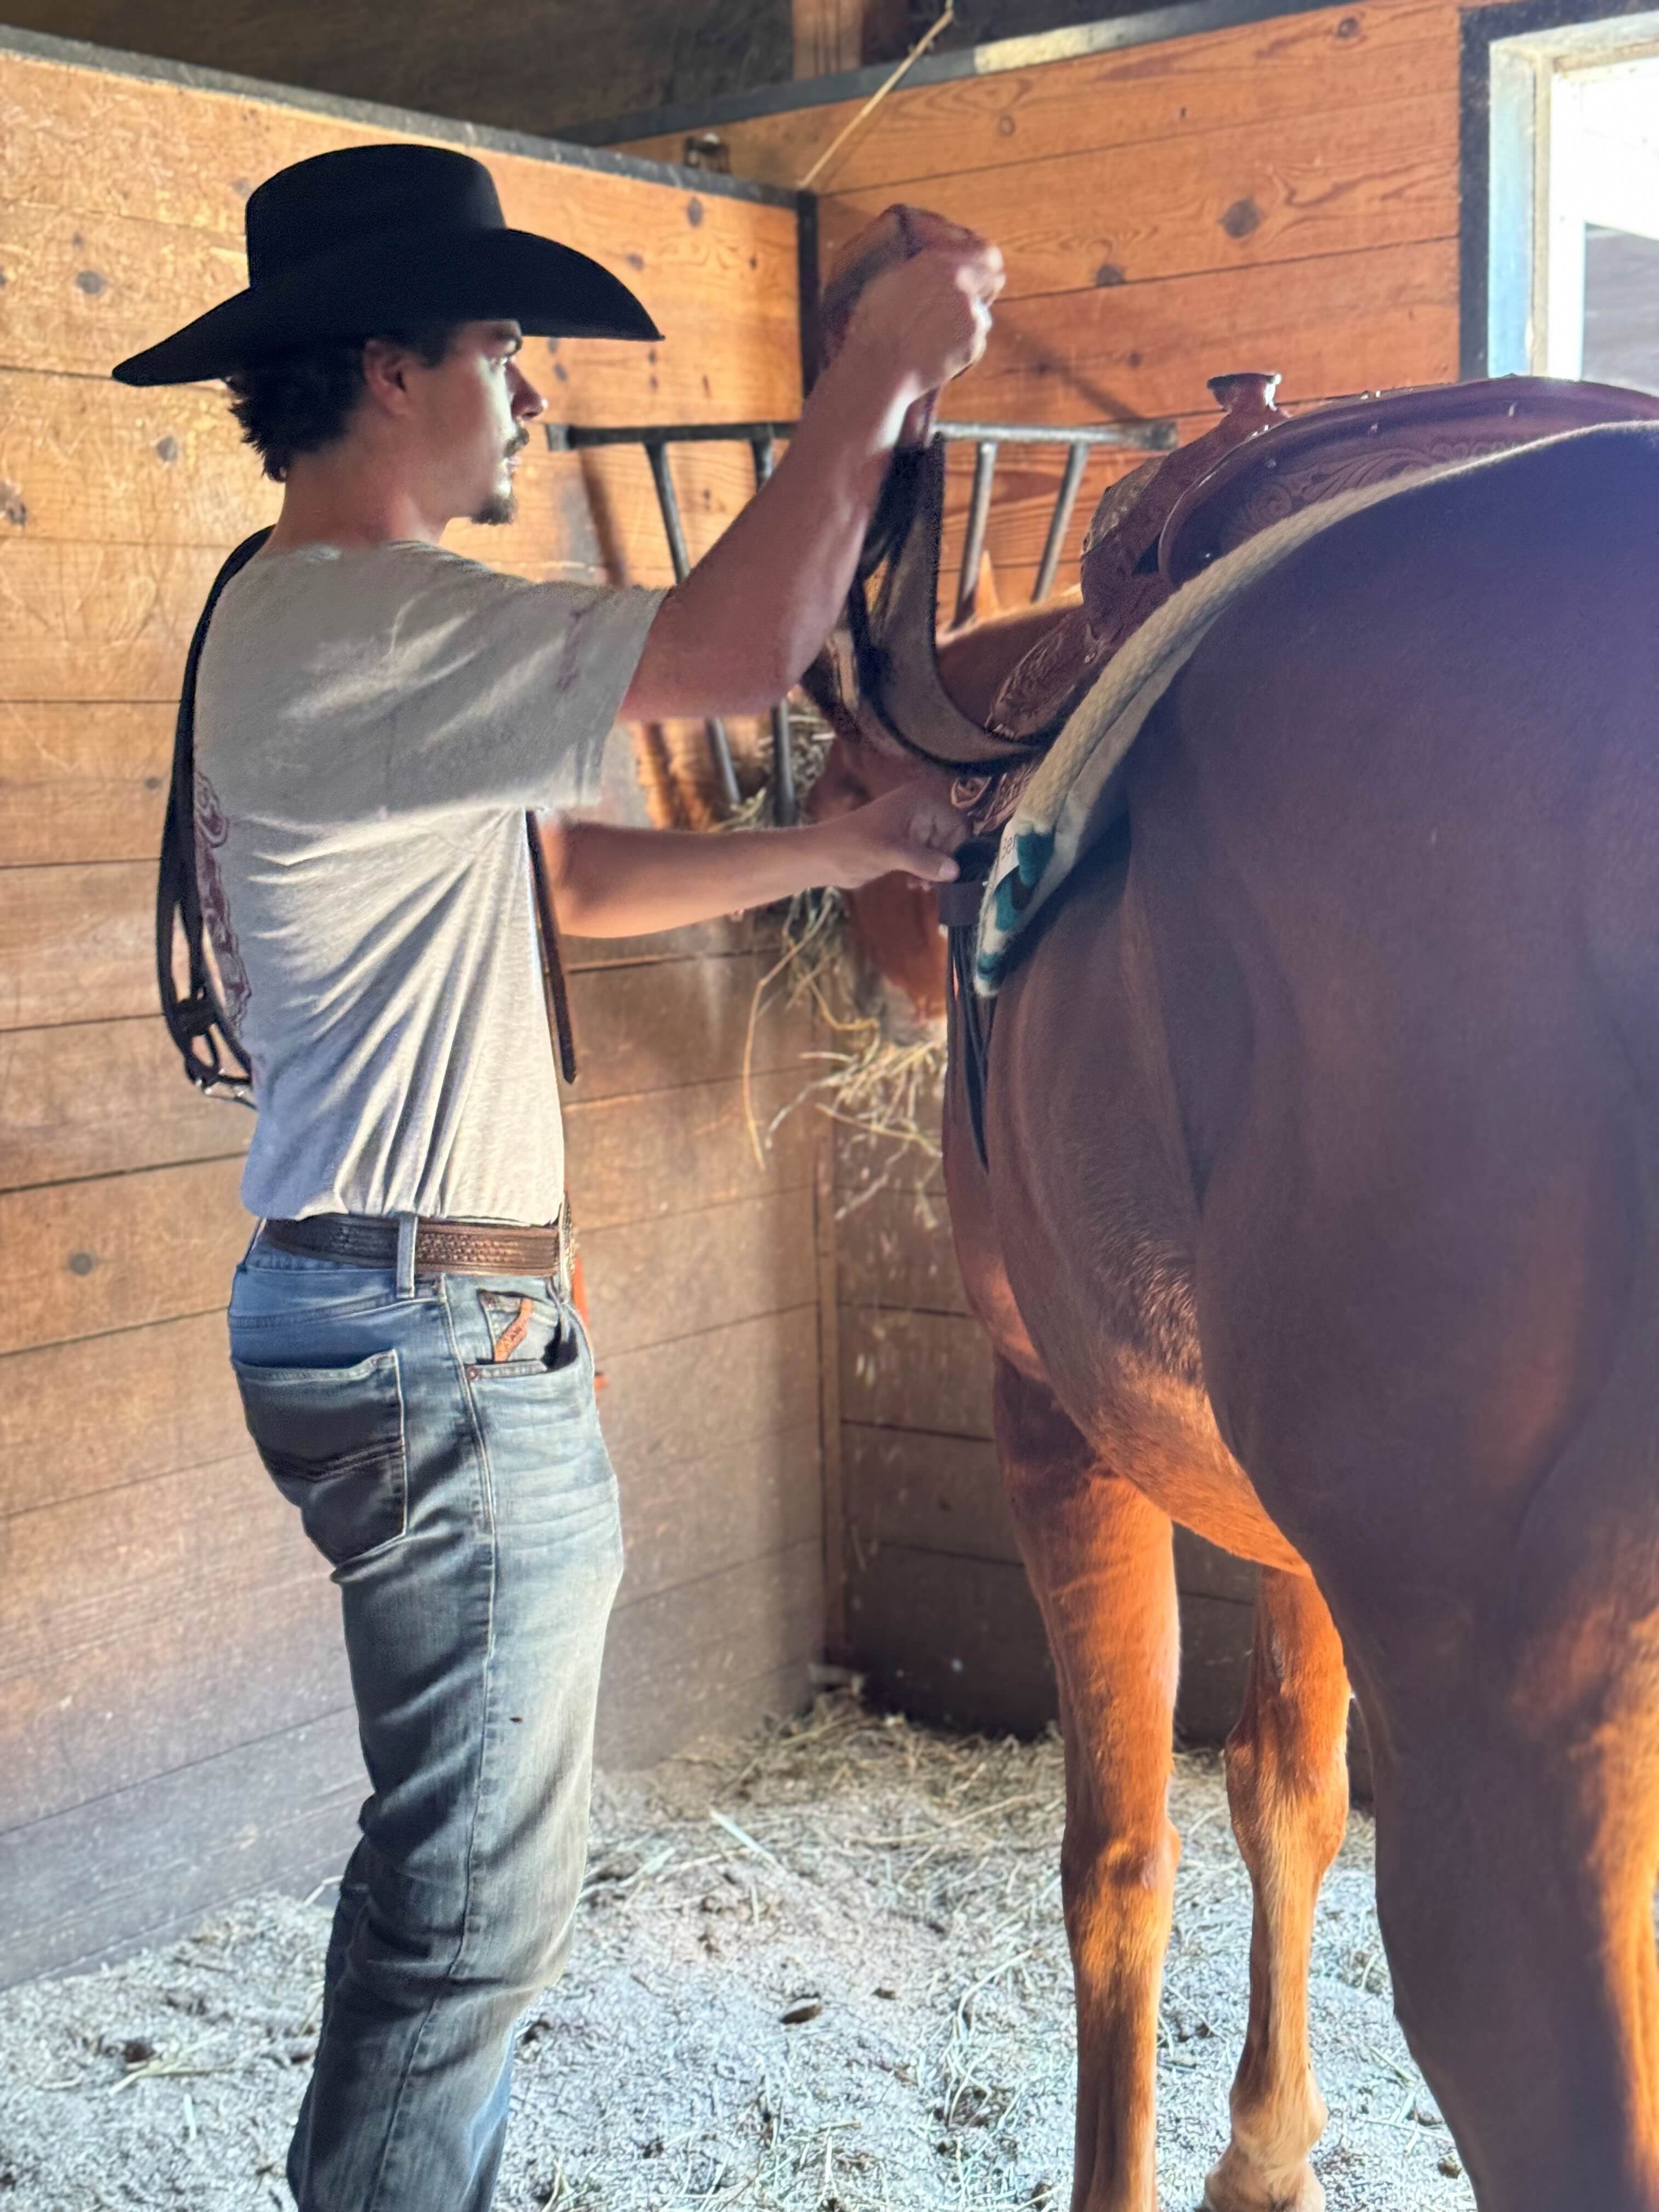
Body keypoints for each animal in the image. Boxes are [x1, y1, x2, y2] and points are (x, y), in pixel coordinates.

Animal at [800, 209, 1659, 2212]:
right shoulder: (1294, 1524)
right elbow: (1284, 1784)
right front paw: (1269, 2145)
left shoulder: (1058, 1422)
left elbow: (1121, 1865)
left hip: (1531, 1789)